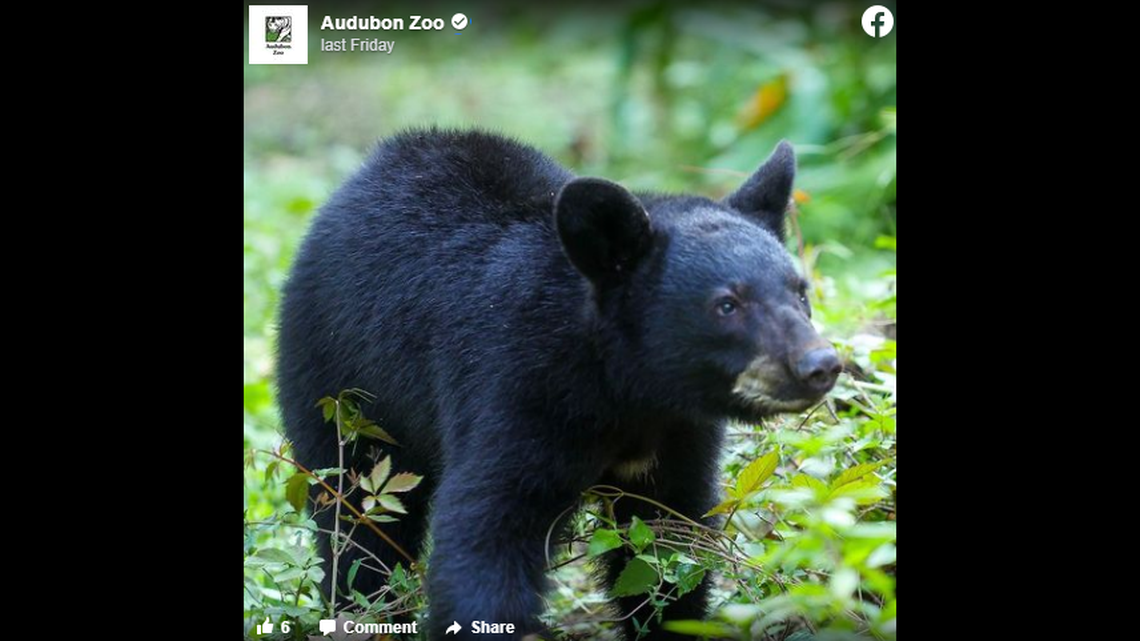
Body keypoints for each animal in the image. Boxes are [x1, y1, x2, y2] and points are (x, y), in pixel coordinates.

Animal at [276, 128, 840, 640]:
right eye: (727, 304)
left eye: (800, 293)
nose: (820, 364)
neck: (627, 389)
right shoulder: (518, 385)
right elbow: (488, 531)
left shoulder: (680, 433)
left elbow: (668, 541)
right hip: (339, 381)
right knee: (355, 515)